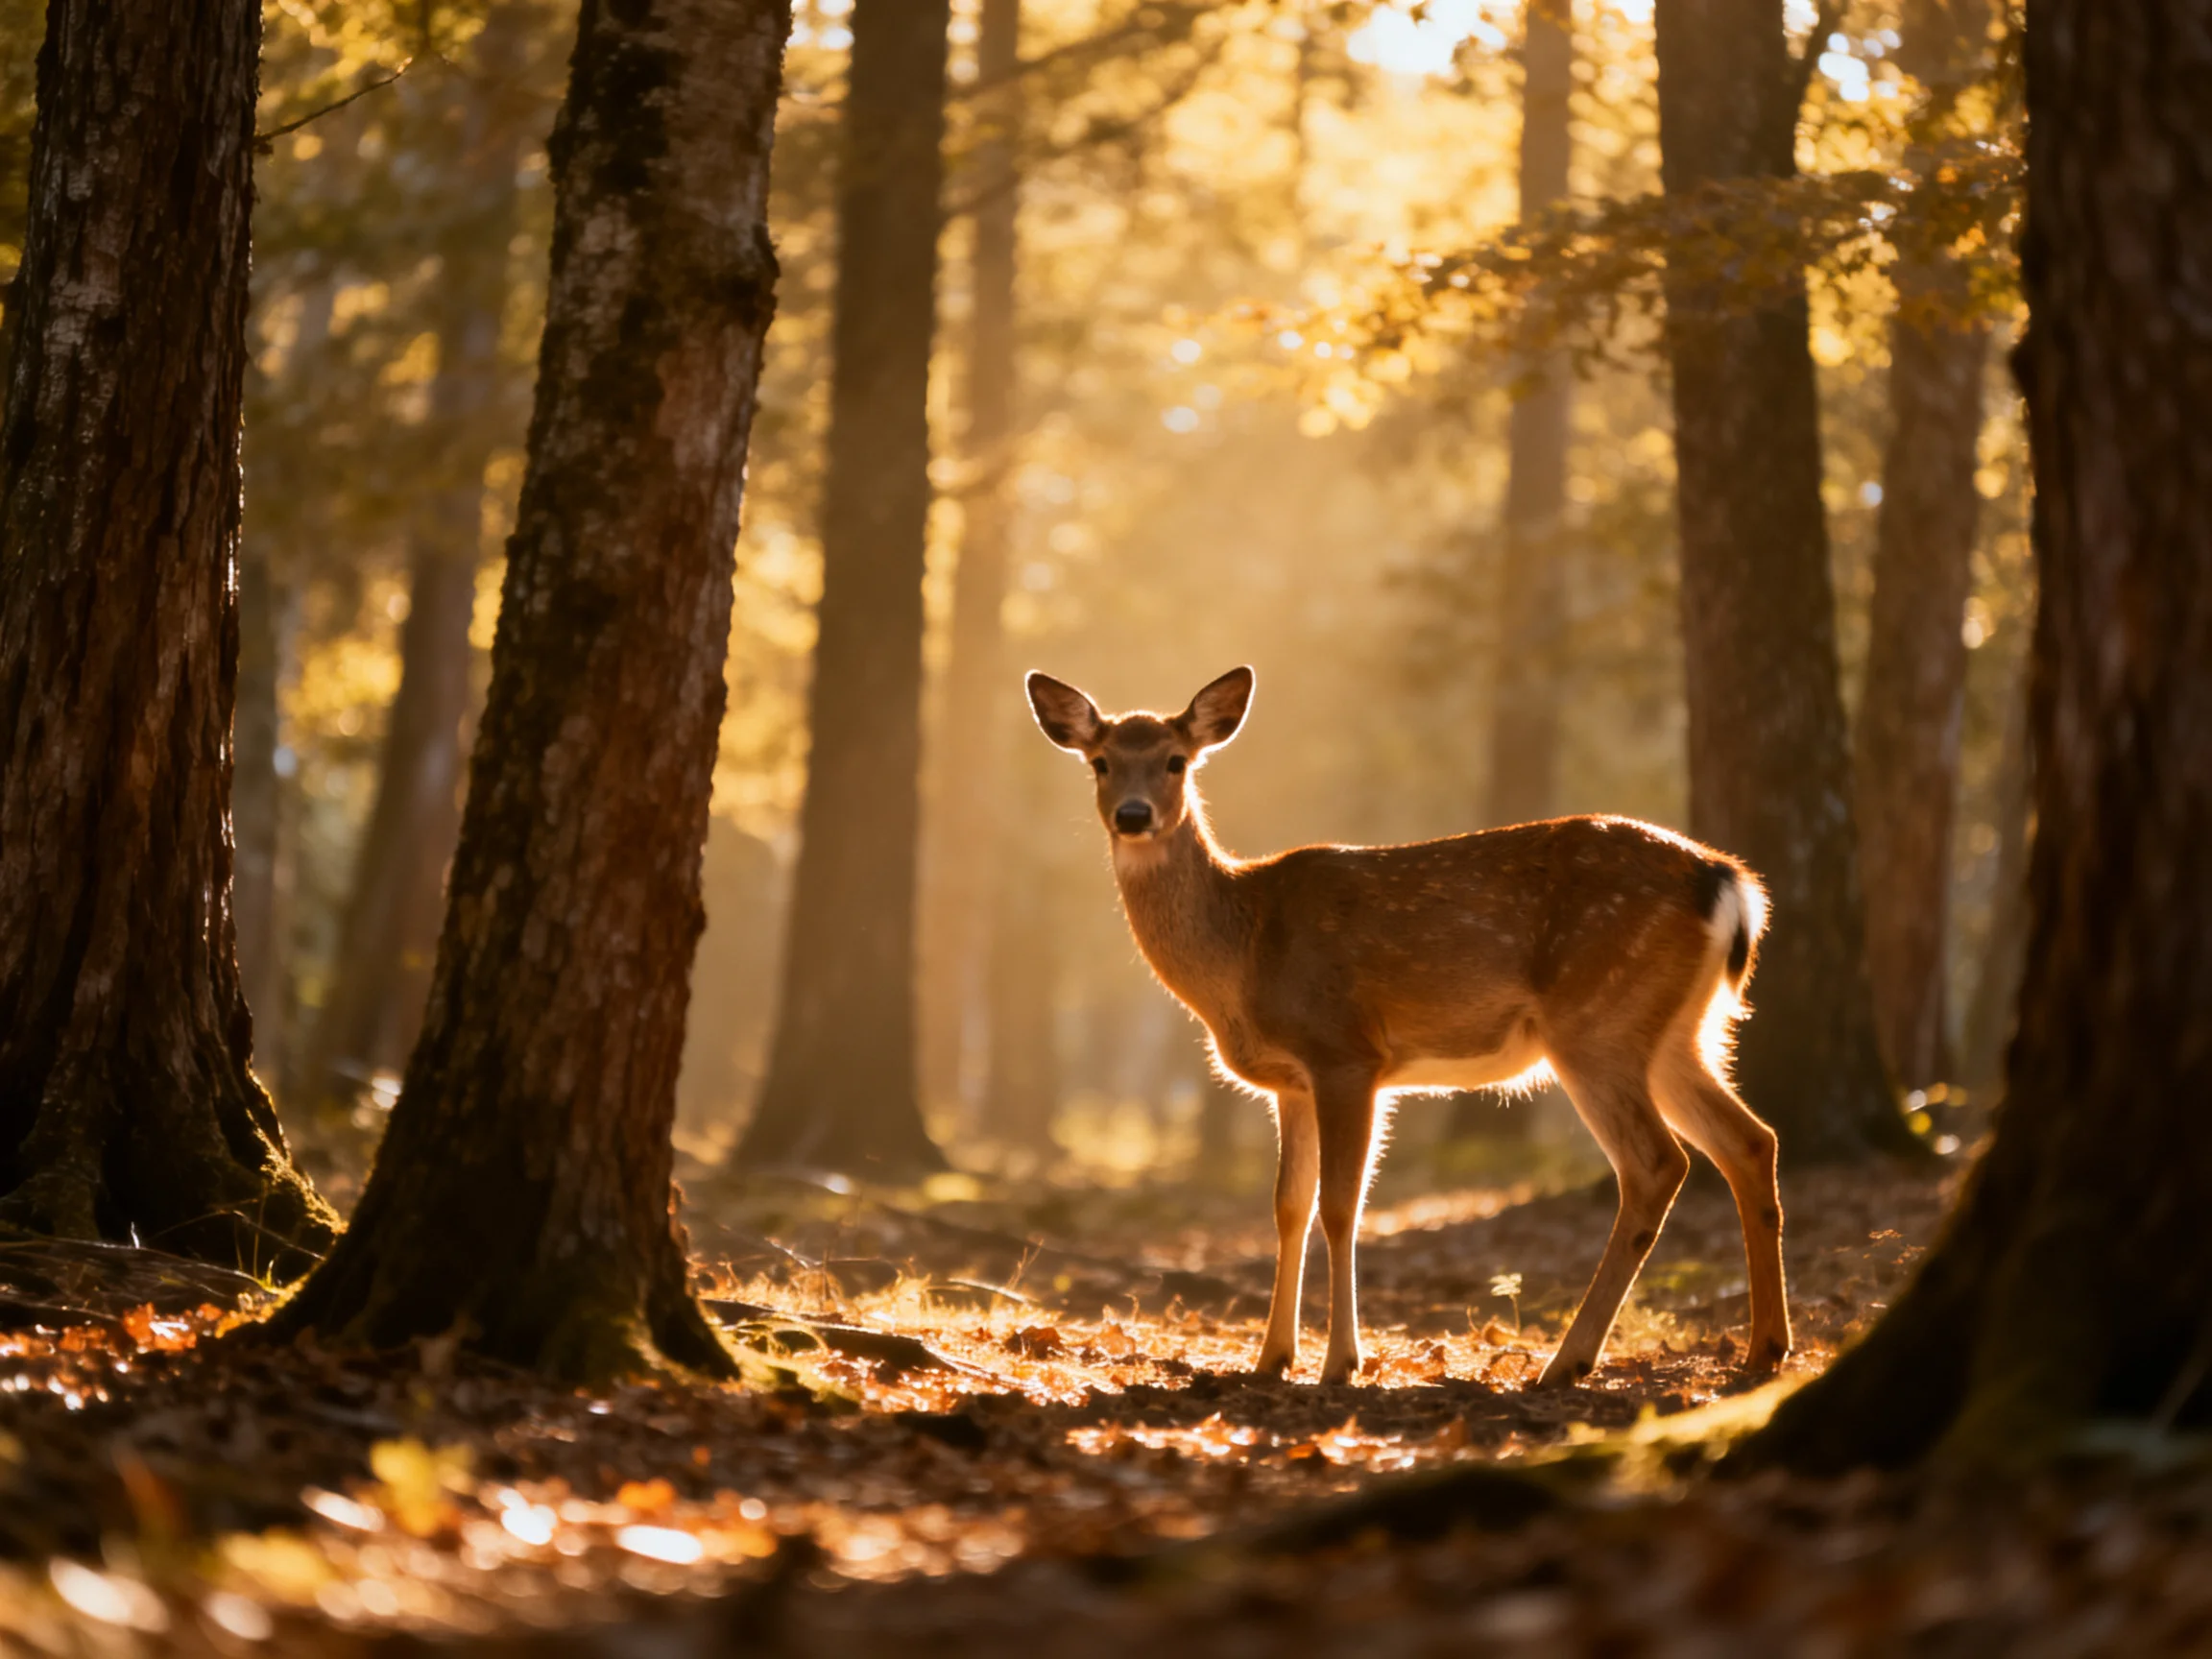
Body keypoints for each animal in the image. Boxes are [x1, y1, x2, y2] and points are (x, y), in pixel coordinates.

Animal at [1025, 665, 1790, 1387]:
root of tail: (1728, 883)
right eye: (1100, 761)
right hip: (1678, 1032)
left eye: (1176, 760)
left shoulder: (1346, 1053)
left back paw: (1567, 1362)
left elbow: (1340, 1206)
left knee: (1657, 1163)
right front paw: (1271, 1358)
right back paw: (1764, 1349)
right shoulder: (1290, 1082)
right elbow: (1288, 1206)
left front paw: (1340, 1363)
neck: (1243, 954)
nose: (1133, 815)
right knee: (1751, 1140)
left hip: (1597, 1020)